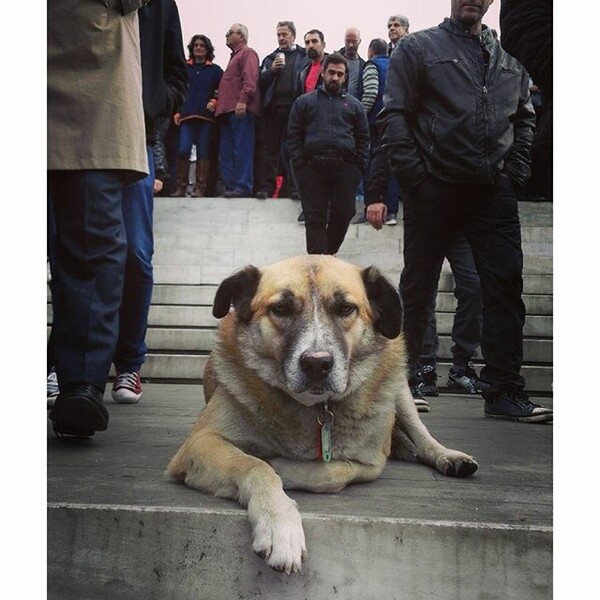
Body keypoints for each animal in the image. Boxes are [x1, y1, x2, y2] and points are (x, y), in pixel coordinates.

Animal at [169, 253, 478, 572]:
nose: (317, 363)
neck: (316, 408)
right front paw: (279, 524)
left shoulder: (373, 461)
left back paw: (448, 456)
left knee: (421, 434)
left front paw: (281, 467)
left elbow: (331, 473)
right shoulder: (201, 442)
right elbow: (253, 466)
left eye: (345, 308)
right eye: (281, 308)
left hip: (400, 389)